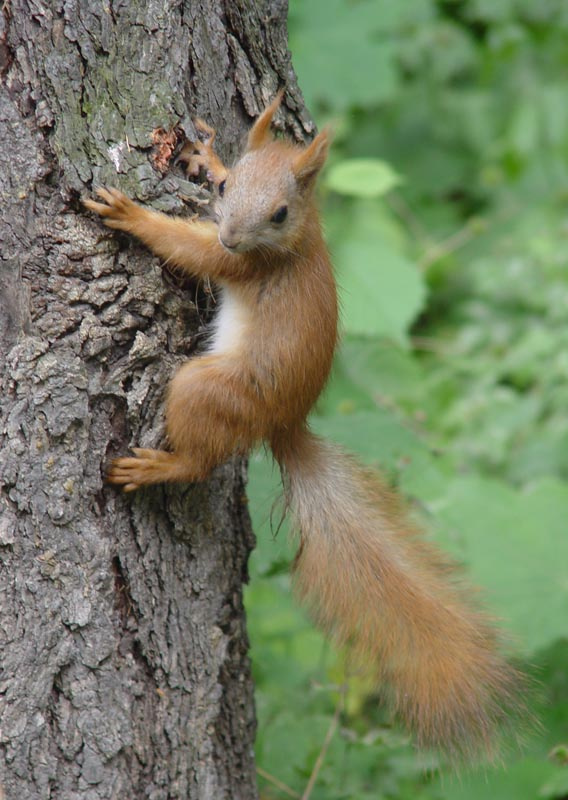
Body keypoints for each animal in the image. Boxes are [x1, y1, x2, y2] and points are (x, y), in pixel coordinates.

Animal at [84, 92, 523, 759]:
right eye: (231, 186)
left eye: (280, 211)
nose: (232, 234)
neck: (301, 237)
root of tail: (285, 424)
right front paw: (208, 156)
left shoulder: (237, 264)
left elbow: (190, 248)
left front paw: (132, 213)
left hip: (207, 388)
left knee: (200, 458)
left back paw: (158, 465)